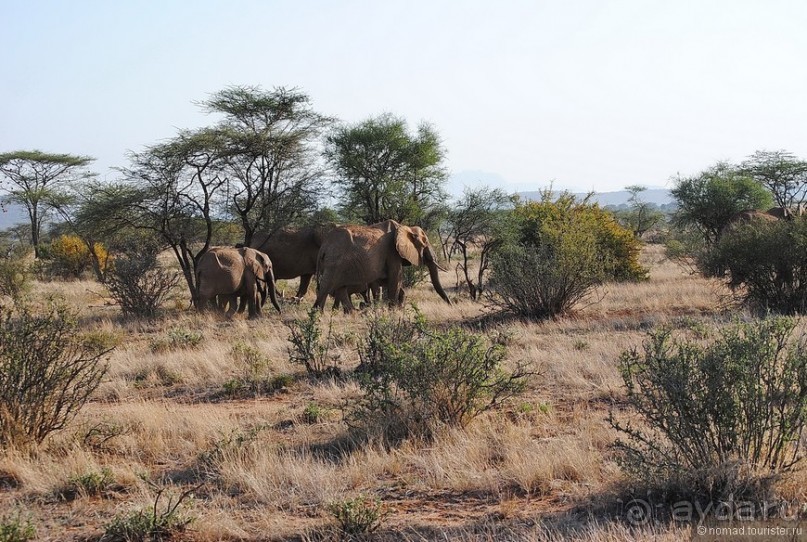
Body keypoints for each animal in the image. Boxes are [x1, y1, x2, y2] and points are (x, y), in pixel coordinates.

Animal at [316, 221, 452, 314]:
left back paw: (352, 313)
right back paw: (317, 316)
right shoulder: (392, 252)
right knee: (327, 285)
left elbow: (393, 283)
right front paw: (392, 313)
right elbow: (395, 280)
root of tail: (324, 246)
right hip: (335, 261)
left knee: (340, 288)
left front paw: (397, 309)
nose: (451, 305)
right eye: (425, 244)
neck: (405, 227)